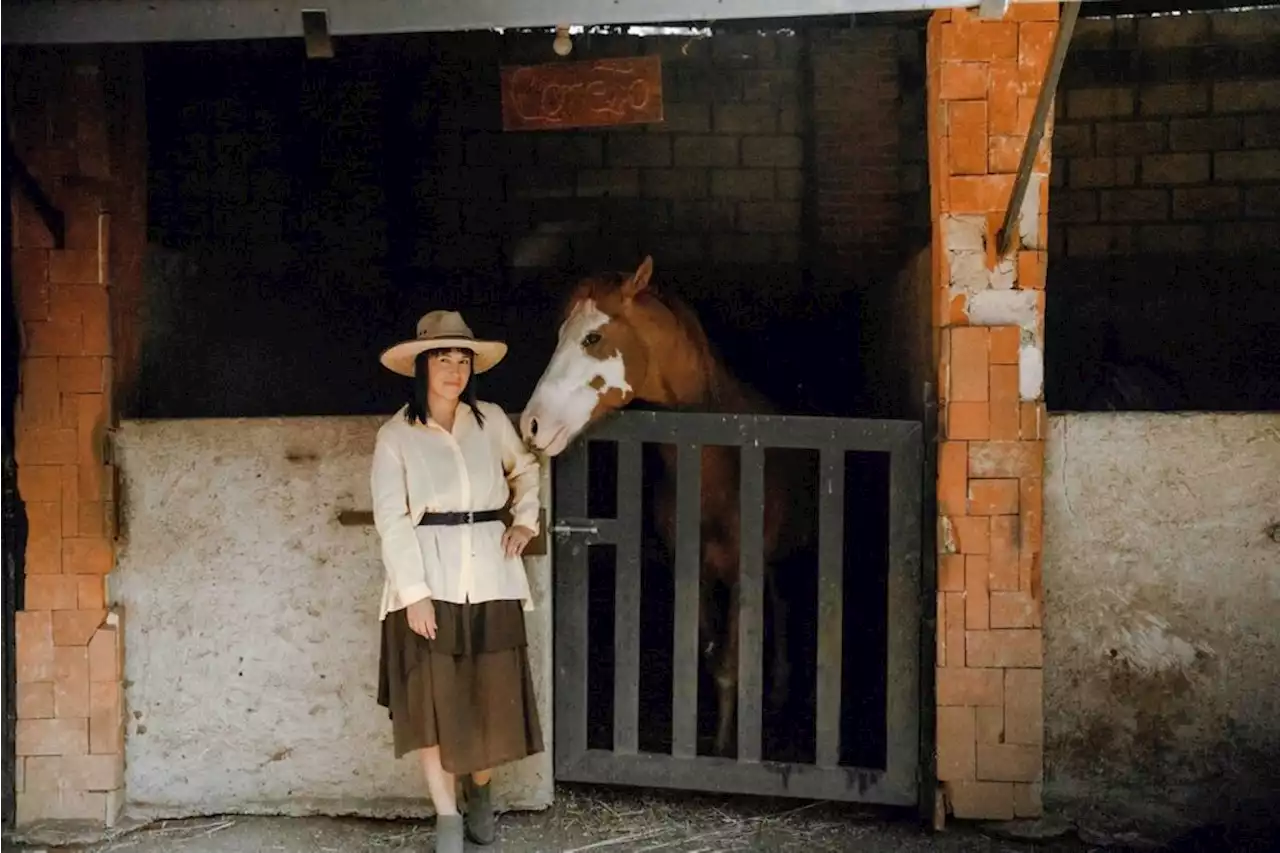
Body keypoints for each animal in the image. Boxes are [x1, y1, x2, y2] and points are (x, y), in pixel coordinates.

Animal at [519, 256, 808, 753]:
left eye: (592, 338)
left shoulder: (741, 572)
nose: (532, 425)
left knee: (784, 604)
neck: (717, 470)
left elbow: (730, 662)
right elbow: (710, 657)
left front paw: (724, 750)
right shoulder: (691, 569)